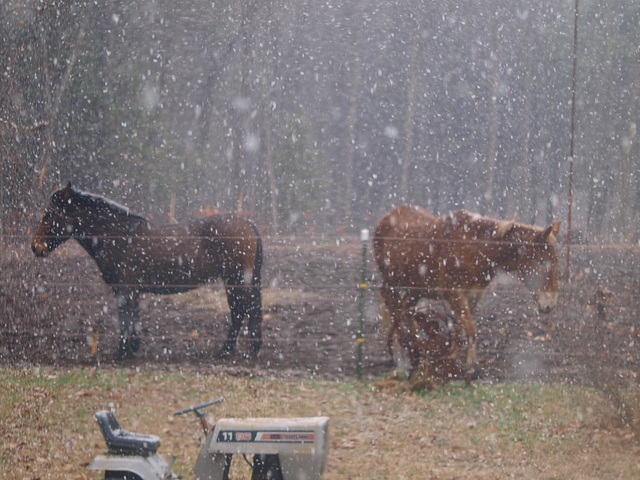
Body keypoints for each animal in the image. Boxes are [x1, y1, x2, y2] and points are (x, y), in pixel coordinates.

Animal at [31, 184, 262, 360]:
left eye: (50, 214)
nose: (35, 247)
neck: (118, 236)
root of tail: (247, 224)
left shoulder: (124, 290)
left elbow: (126, 319)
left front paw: (122, 352)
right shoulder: (132, 291)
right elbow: (133, 319)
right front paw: (132, 349)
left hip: (235, 280)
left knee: (240, 311)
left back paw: (228, 350)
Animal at [376, 203, 560, 382]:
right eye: (541, 261)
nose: (550, 304)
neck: (475, 247)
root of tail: (386, 217)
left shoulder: (474, 294)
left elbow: (459, 326)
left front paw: (453, 359)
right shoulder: (455, 293)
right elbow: (470, 329)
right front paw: (471, 366)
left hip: (415, 288)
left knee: (407, 309)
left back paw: (415, 347)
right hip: (391, 284)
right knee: (394, 310)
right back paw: (403, 350)